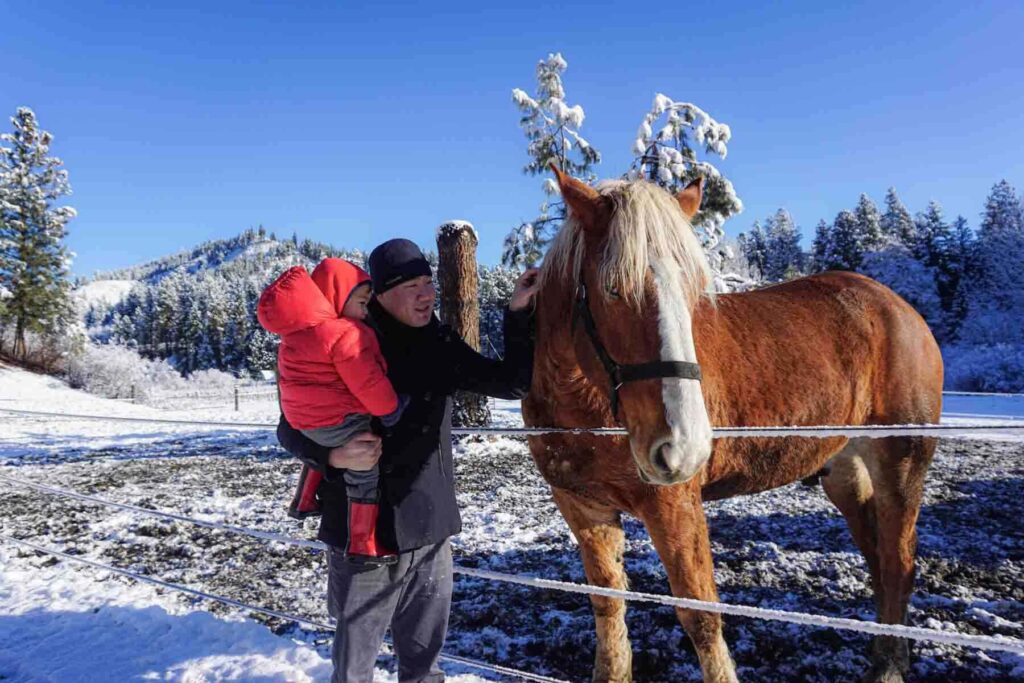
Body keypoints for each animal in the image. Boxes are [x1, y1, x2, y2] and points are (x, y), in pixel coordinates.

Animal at [522, 167, 943, 683]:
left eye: (691, 293)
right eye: (613, 290)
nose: (682, 447)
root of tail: (900, 307)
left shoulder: (674, 505)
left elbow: (700, 615)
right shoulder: (584, 508)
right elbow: (608, 602)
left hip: (901, 462)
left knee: (900, 562)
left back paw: (889, 666)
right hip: (846, 472)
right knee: (880, 560)